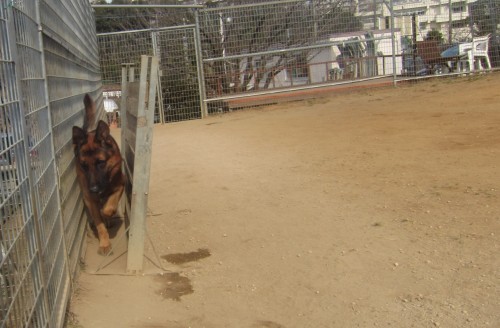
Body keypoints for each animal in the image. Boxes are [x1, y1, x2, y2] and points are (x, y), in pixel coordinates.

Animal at [73, 93, 124, 255]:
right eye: (84, 165)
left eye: (101, 162)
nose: (94, 189)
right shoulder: (90, 199)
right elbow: (99, 222)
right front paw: (104, 243)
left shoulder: (120, 186)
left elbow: (109, 208)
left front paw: (107, 214)